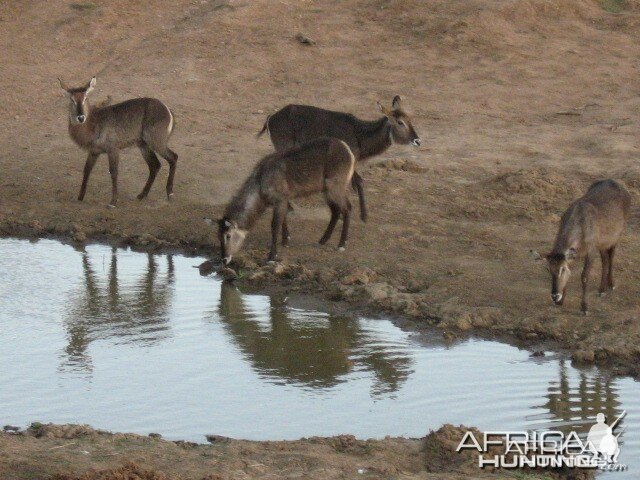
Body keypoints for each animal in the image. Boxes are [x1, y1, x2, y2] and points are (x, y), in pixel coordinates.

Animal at [59, 76, 178, 206]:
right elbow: (86, 170)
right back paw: (142, 195)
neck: (93, 124)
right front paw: (80, 197)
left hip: (156, 141)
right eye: (72, 99)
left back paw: (170, 193)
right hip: (143, 145)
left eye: (85, 98)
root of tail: (169, 111)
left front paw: (113, 201)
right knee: (155, 165)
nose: (81, 117)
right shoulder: (94, 151)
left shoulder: (113, 149)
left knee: (173, 157)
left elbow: (113, 172)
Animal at [219, 139, 360, 264]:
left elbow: (275, 225)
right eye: (218, 235)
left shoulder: (280, 199)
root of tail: (349, 151)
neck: (260, 183)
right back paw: (323, 240)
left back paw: (341, 244)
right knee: (336, 211)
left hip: (335, 186)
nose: (224, 259)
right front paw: (286, 240)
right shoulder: (282, 200)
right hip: (326, 190)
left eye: (228, 235)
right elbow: (284, 218)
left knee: (347, 208)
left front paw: (272, 256)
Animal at [258, 95, 422, 221]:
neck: (360, 136)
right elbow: (358, 182)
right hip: (283, 147)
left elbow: (357, 183)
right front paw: (362, 215)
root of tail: (271, 118)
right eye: (400, 122)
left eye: (409, 119)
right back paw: (289, 207)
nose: (417, 141)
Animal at [532, 180, 632, 316]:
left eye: (562, 269)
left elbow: (584, 276)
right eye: (548, 269)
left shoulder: (591, 251)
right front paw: (561, 300)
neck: (580, 225)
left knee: (611, 256)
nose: (555, 296)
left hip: (615, 236)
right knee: (605, 260)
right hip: (602, 243)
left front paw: (584, 307)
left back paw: (610, 285)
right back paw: (602, 289)